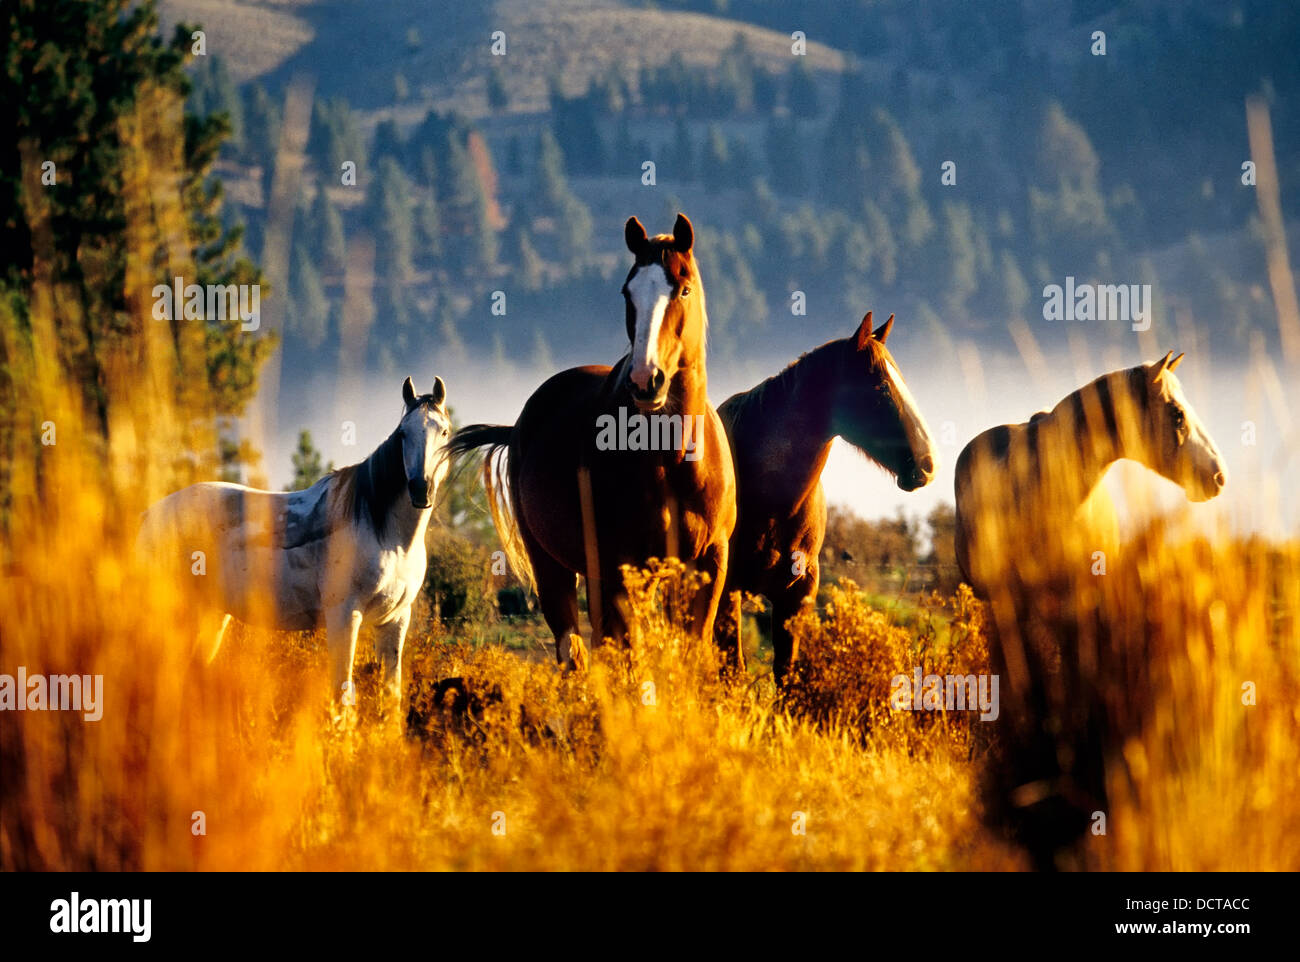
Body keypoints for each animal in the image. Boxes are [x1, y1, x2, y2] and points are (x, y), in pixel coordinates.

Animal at [137, 377, 452, 712]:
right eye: (403, 433)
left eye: (444, 431)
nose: (420, 489)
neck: (388, 535)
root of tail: (149, 516)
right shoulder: (344, 617)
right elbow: (342, 694)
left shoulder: (394, 620)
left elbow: (391, 696)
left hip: (210, 616)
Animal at [444, 215, 733, 670]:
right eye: (627, 292)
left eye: (683, 288)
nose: (645, 380)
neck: (672, 460)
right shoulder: (621, 568)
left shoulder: (708, 564)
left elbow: (689, 652)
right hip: (554, 569)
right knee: (573, 650)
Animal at [717, 313, 941, 686]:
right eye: (881, 387)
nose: (928, 464)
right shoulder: (727, 591)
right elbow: (732, 670)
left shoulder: (797, 595)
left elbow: (787, 675)